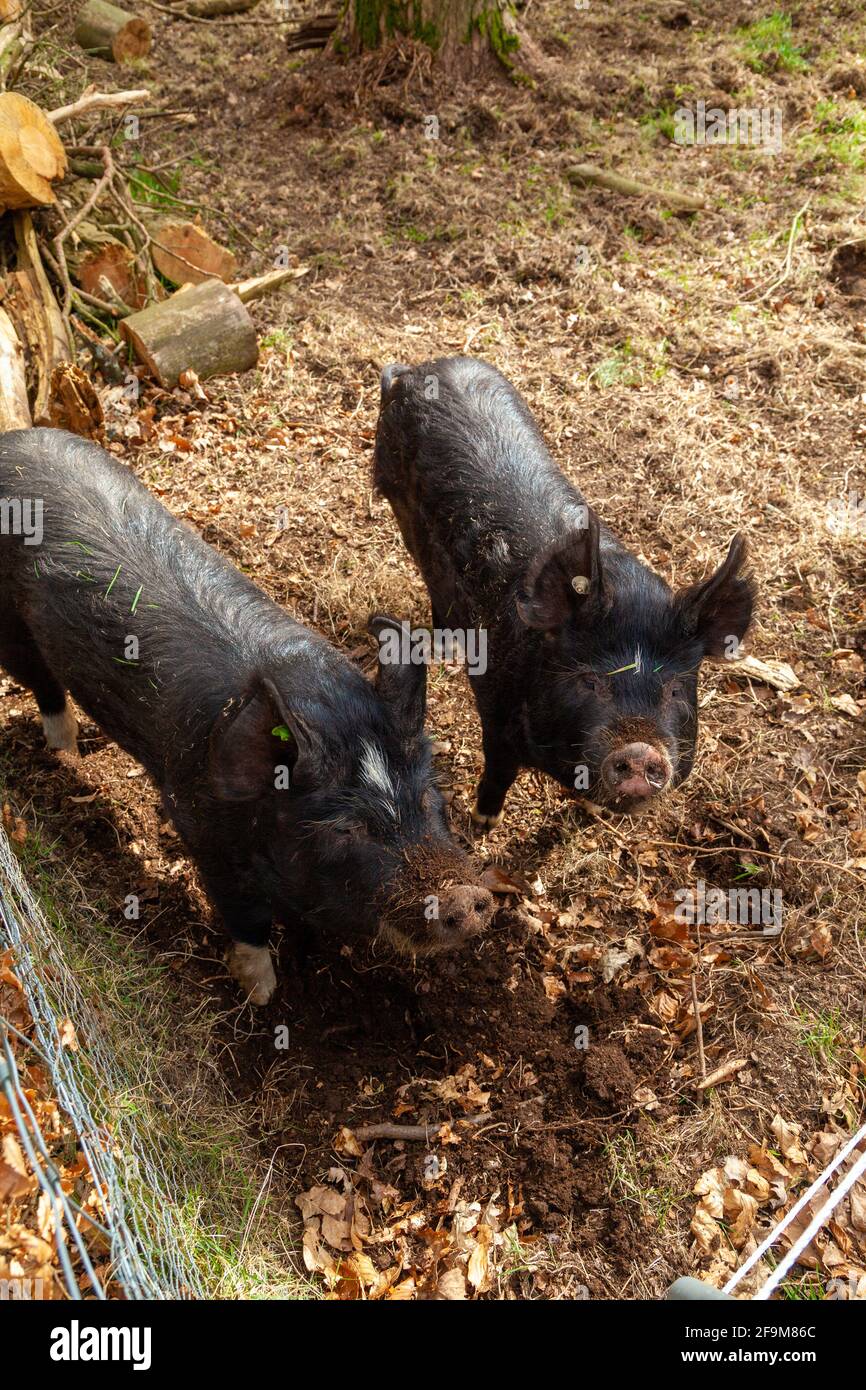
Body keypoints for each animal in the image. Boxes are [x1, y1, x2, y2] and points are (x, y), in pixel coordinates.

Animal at [0, 429, 494, 1003]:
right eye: (347, 830)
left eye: (428, 799)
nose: (466, 897)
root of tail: (13, 439)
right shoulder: (198, 827)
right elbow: (246, 918)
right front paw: (263, 995)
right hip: (13, 632)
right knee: (44, 686)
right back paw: (68, 757)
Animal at [374, 357, 755, 828]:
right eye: (589, 681)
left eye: (674, 689)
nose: (640, 749)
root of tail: (416, 370)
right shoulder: (496, 713)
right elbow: (499, 771)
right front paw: (483, 824)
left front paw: (594, 811)